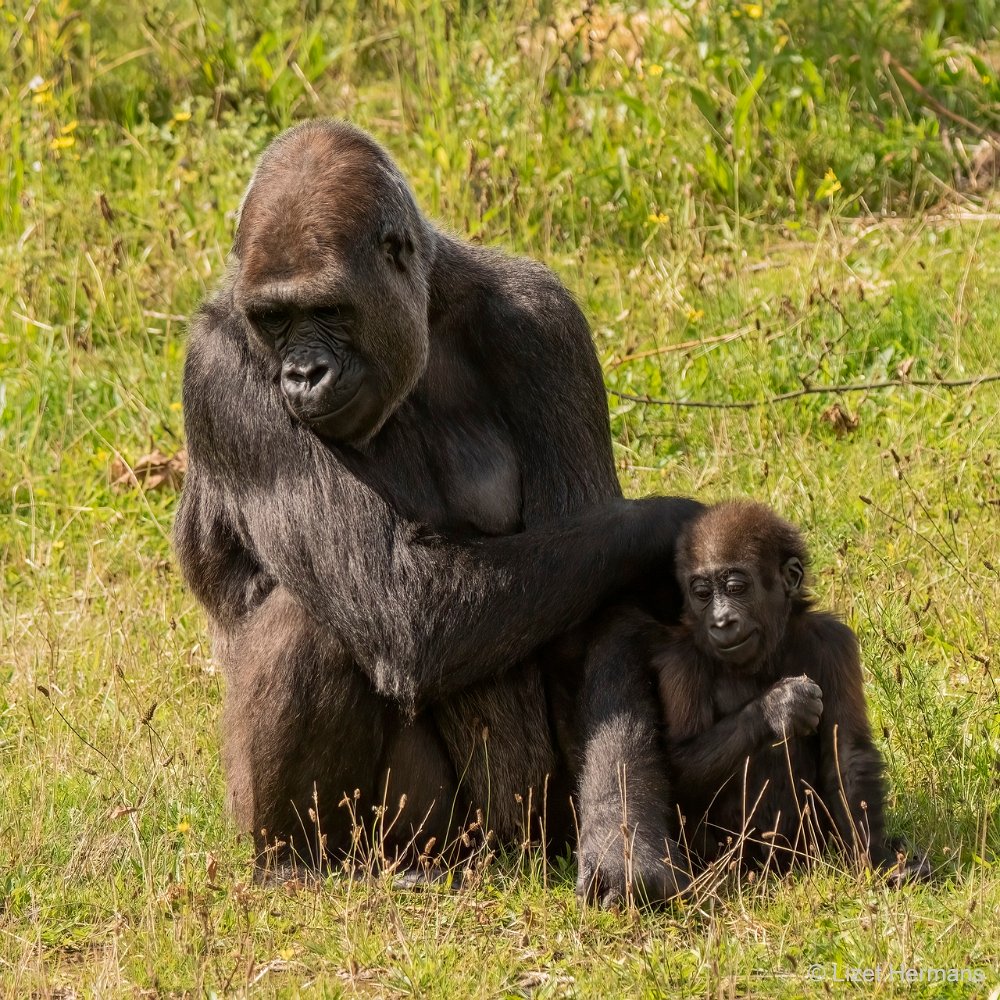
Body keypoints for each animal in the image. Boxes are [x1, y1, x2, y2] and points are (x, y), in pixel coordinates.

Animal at [176, 121, 700, 896]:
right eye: (272, 319)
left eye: (327, 311)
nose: (302, 374)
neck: (425, 313)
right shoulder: (218, 370)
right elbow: (396, 606)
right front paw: (659, 525)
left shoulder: (545, 321)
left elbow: (599, 617)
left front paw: (625, 840)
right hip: (395, 843)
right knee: (319, 619)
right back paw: (298, 861)